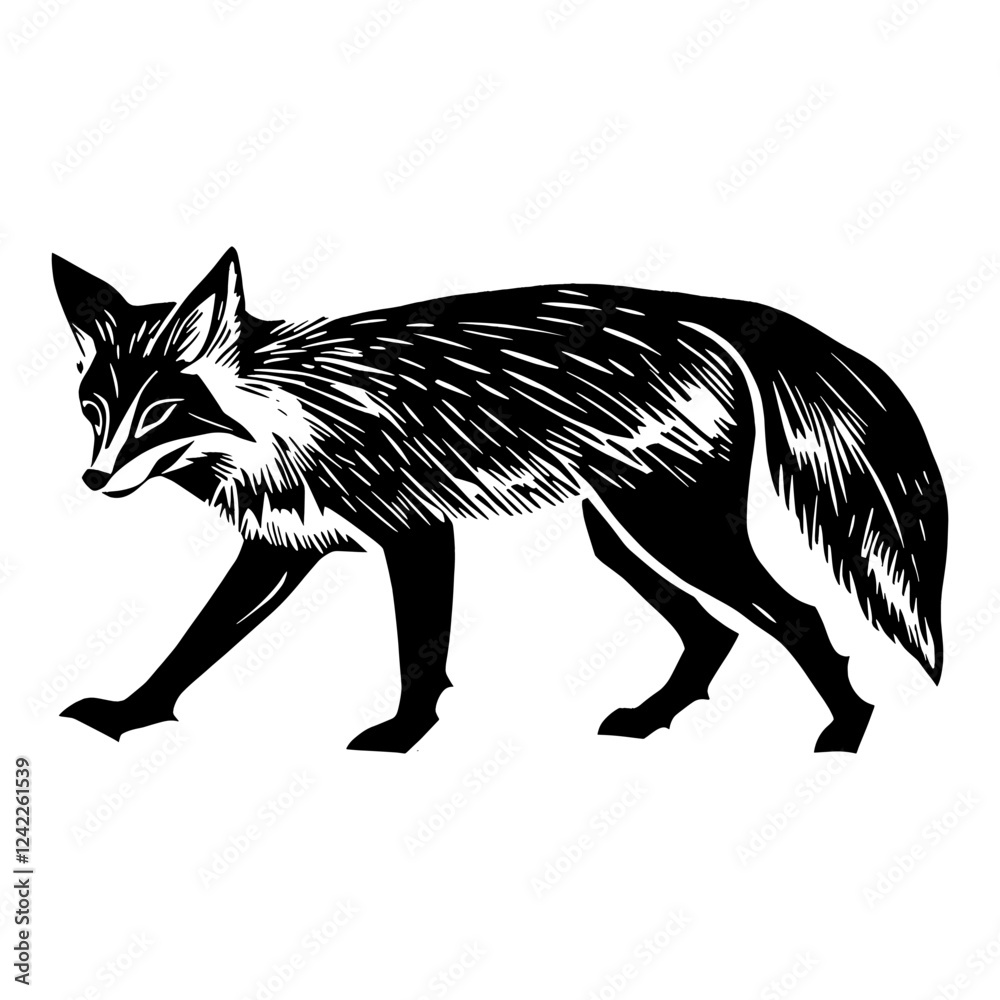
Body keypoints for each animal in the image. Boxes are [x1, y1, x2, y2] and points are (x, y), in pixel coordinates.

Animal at [51, 248, 947, 753]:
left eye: (159, 413)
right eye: (95, 410)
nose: (93, 480)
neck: (289, 417)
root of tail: (701, 311)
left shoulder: (416, 535)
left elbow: (420, 655)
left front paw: (403, 738)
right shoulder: (278, 551)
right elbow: (193, 645)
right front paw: (130, 715)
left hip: (673, 530)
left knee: (799, 617)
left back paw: (848, 730)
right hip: (619, 534)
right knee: (714, 633)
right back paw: (652, 717)